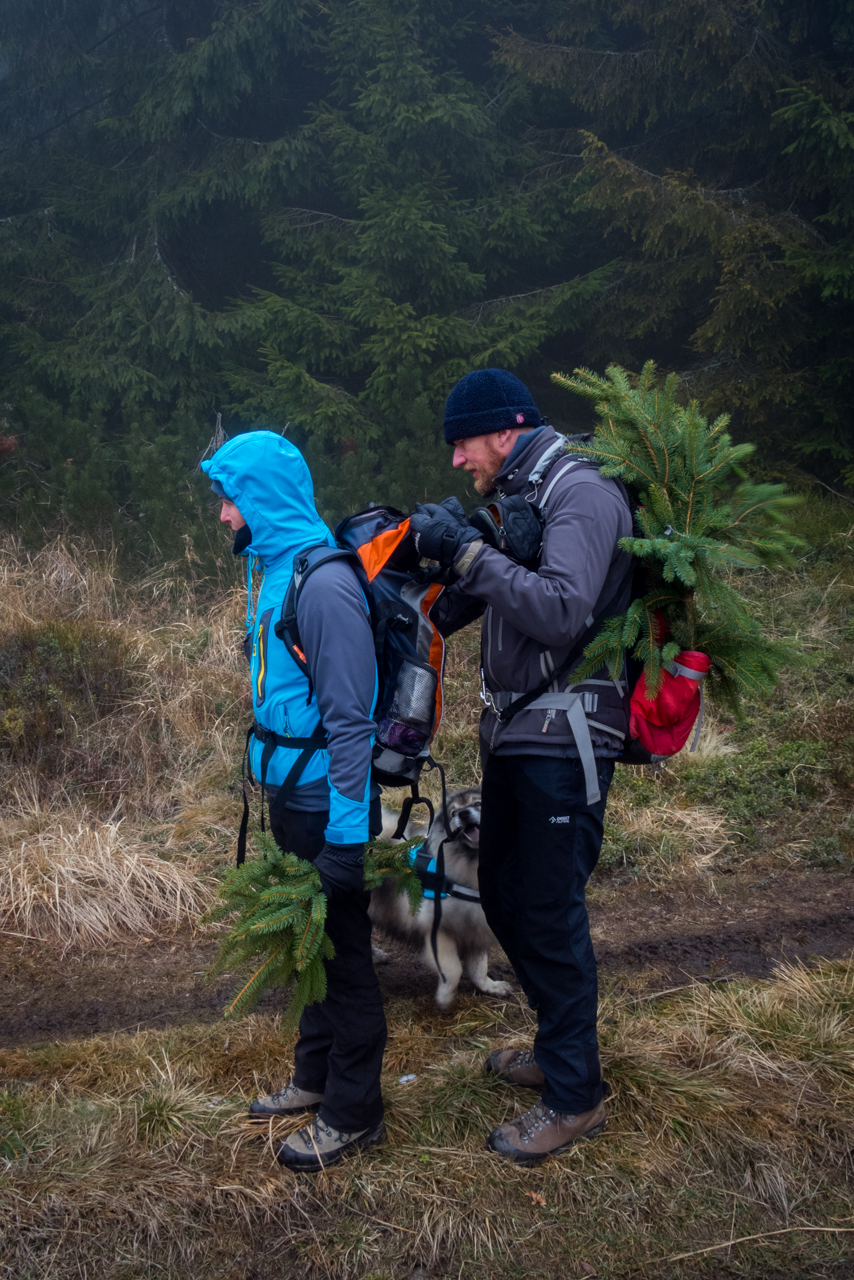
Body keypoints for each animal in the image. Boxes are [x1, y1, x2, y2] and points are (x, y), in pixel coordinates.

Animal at [368, 783, 514, 1003]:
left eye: (478, 803)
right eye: (453, 813)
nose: (463, 814)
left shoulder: (475, 929)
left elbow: (478, 968)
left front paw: (490, 986)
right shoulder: (437, 930)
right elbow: (454, 969)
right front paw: (445, 995)